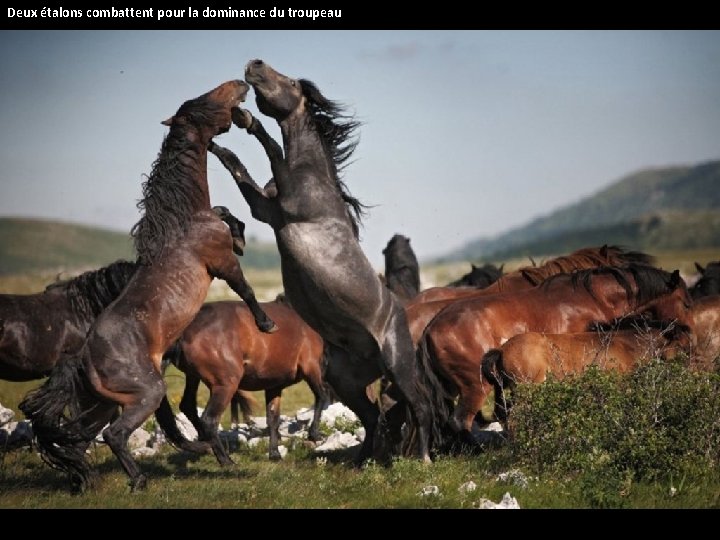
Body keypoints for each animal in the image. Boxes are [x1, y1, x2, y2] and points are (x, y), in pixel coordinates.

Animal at [19, 80, 278, 494]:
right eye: (204, 101)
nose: (240, 85)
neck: (183, 223)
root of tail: (82, 357)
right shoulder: (220, 264)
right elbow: (246, 288)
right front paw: (267, 323)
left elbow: (225, 212)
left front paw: (239, 234)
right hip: (146, 394)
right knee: (114, 434)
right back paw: (140, 479)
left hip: (103, 403)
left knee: (78, 437)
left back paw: (83, 480)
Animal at [158, 298, 332, 462]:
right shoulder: (311, 366)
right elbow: (321, 397)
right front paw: (314, 434)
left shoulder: (273, 385)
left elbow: (273, 418)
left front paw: (274, 453)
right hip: (225, 385)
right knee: (209, 419)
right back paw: (226, 461)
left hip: (193, 377)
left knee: (188, 406)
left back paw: (205, 445)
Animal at [208, 60, 444, 464]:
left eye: (288, 81)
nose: (254, 64)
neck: (312, 173)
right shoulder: (266, 211)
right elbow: (236, 167)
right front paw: (214, 144)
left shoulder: (286, 205)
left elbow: (271, 148)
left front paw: (246, 119)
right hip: (345, 380)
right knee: (373, 417)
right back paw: (360, 463)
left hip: (398, 367)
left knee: (420, 407)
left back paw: (424, 459)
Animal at [420, 264, 696, 446]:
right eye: (686, 302)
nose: (690, 338)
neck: (591, 298)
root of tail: (429, 329)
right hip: (476, 386)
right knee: (460, 421)